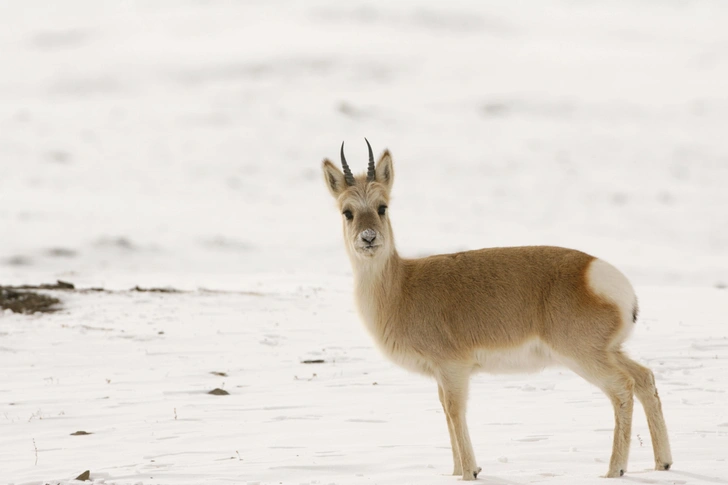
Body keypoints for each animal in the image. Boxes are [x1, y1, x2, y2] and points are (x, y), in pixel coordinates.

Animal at [322, 140, 672, 480]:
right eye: (347, 212)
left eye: (382, 207)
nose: (369, 238)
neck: (402, 286)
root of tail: (596, 272)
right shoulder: (441, 374)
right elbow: (445, 411)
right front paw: (455, 471)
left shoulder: (453, 369)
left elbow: (454, 411)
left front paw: (470, 472)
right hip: (611, 351)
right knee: (645, 379)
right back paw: (662, 464)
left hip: (584, 357)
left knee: (623, 388)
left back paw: (615, 470)